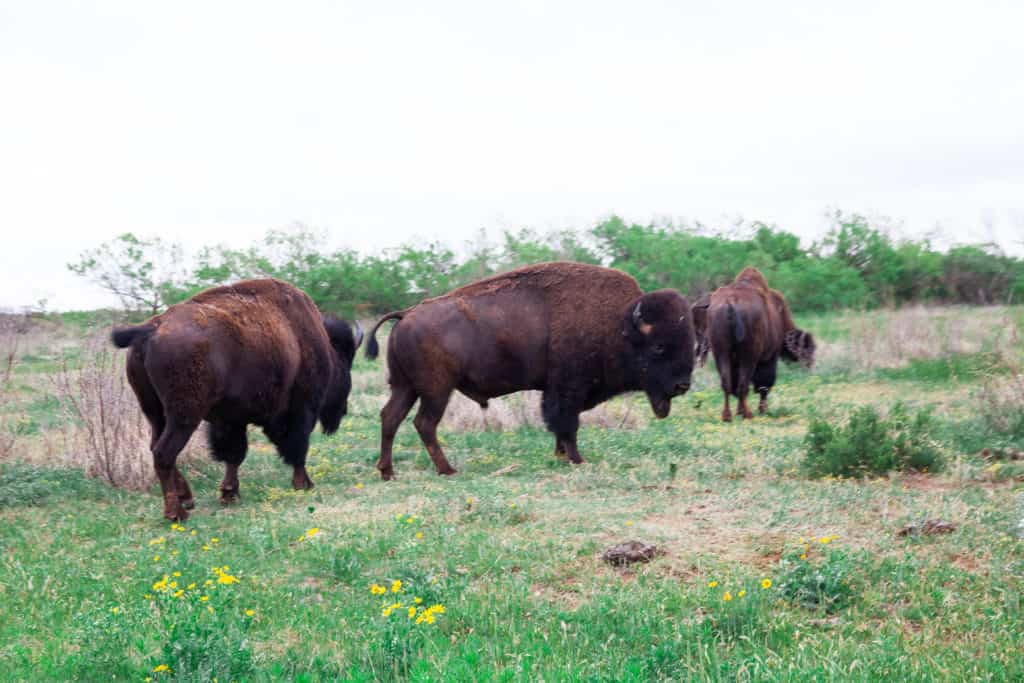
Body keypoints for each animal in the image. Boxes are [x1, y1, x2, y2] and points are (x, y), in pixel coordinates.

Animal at [109, 280, 360, 520]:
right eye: (344, 363)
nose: (343, 411)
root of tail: (152, 329)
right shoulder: (300, 409)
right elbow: (297, 447)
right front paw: (304, 484)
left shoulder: (229, 420)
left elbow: (234, 454)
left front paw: (229, 494)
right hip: (184, 416)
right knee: (164, 453)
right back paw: (176, 513)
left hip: (154, 412)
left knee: (155, 447)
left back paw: (186, 498)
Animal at [362, 262, 696, 481]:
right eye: (659, 347)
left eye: (690, 342)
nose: (682, 385)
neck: (621, 324)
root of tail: (406, 314)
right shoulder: (568, 389)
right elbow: (567, 424)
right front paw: (577, 459)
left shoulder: (557, 391)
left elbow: (560, 426)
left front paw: (561, 456)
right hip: (436, 390)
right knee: (424, 423)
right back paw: (447, 470)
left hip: (405, 386)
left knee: (390, 417)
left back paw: (388, 472)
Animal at [692, 268, 819, 421]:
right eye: (808, 350)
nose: (810, 366)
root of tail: (730, 303)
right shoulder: (769, 357)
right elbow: (764, 384)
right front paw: (762, 409)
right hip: (749, 356)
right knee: (744, 384)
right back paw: (747, 414)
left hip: (721, 353)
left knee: (728, 383)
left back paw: (728, 416)